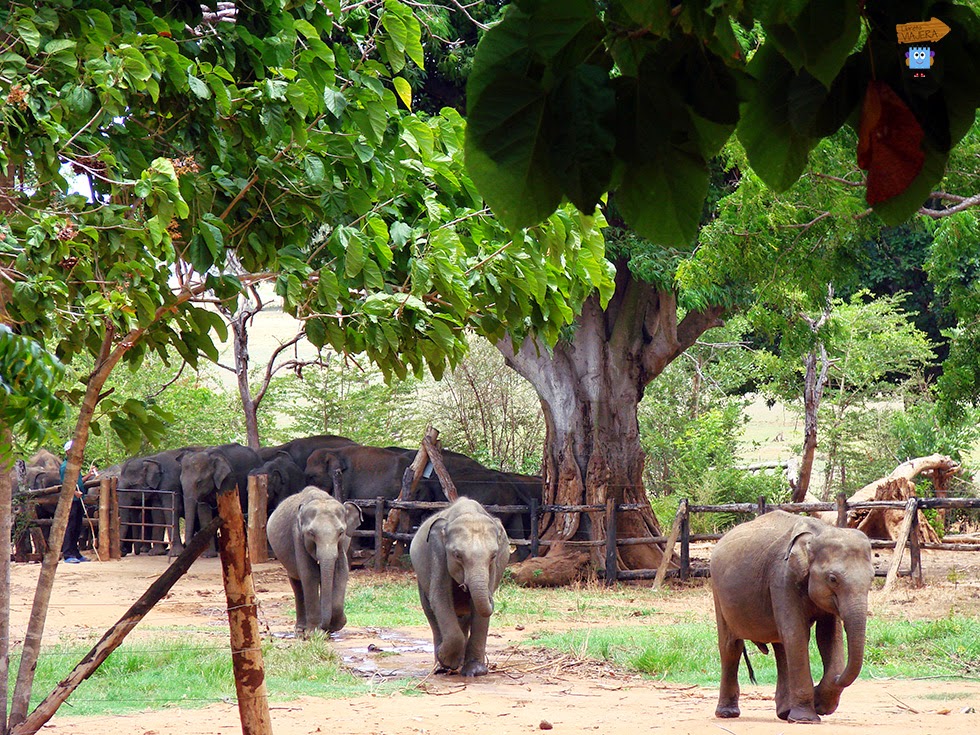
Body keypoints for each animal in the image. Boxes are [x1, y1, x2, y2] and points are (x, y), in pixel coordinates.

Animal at [266, 488, 362, 640]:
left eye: (341, 532)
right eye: (311, 533)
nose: (326, 627)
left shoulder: (341, 547)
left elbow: (341, 573)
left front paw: (334, 626)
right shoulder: (298, 537)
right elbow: (309, 575)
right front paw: (314, 633)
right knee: (297, 584)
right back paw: (301, 630)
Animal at [410, 494, 510, 680]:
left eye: (493, 556)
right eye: (457, 555)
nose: (492, 598)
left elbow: (479, 610)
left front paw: (476, 672)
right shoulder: (438, 553)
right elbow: (440, 598)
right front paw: (446, 660)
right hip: (421, 579)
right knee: (430, 612)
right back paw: (440, 667)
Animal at [708, 512, 876, 724]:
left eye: (872, 578)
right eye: (832, 579)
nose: (837, 679)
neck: (817, 534)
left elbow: (828, 637)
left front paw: (821, 704)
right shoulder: (782, 577)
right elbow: (796, 634)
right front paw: (806, 719)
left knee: (780, 645)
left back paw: (784, 712)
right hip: (717, 590)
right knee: (731, 647)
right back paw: (727, 714)